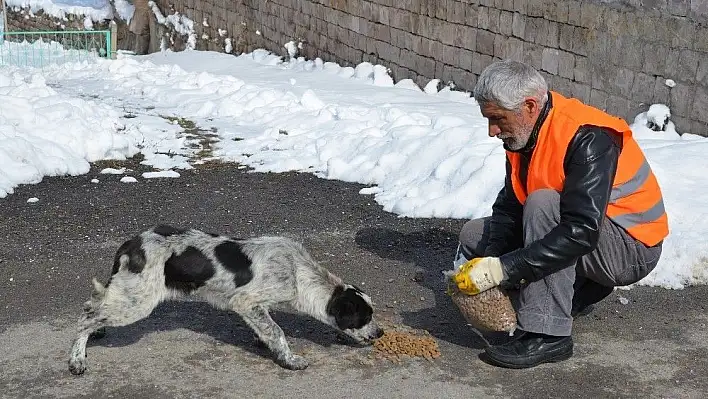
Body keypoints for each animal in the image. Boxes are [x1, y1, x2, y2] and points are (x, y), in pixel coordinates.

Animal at [68, 225, 382, 376]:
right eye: (364, 317)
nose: (381, 333)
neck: (297, 270)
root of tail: (131, 244)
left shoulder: (257, 307)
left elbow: (267, 329)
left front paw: (263, 342)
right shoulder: (245, 302)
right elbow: (277, 331)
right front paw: (289, 359)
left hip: (127, 293)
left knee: (93, 304)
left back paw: (97, 332)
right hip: (137, 302)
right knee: (85, 318)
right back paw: (77, 360)